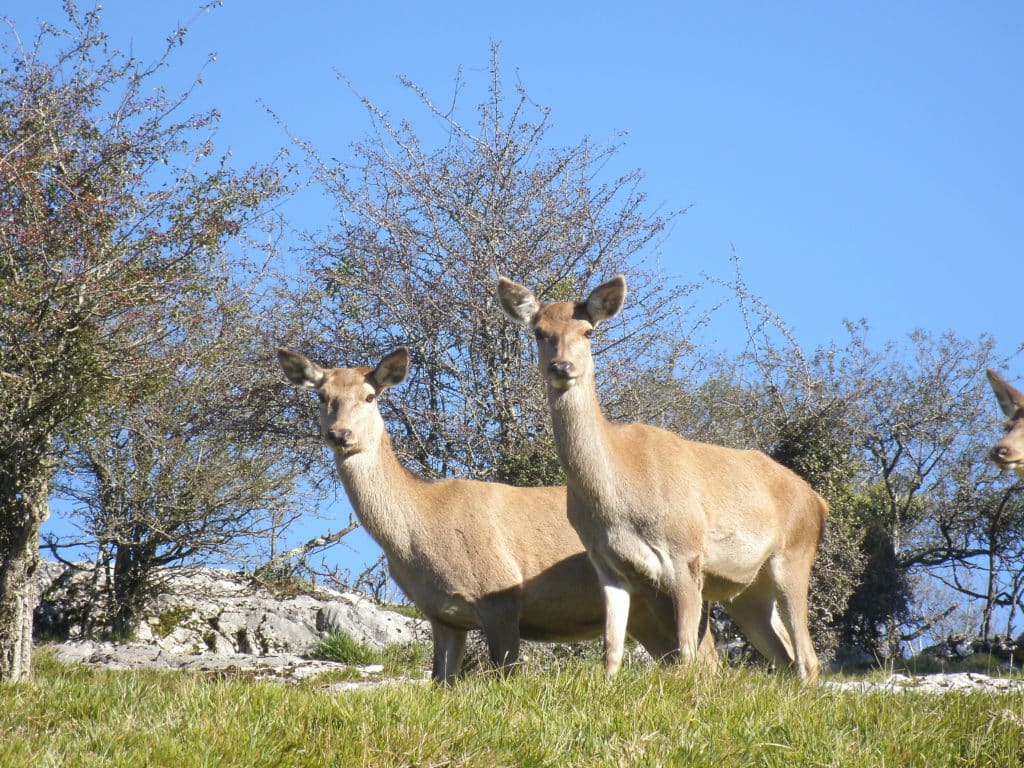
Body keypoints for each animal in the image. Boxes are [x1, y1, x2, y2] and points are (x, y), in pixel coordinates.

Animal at [278, 346, 712, 684]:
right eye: (322, 396)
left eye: (370, 396)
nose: (339, 434)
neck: (419, 527)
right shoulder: (442, 615)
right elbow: (440, 682)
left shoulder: (499, 591)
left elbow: (507, 674)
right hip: (643, 611)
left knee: (707, 657)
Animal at [491, 274, 827, 684]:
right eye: (540, 332)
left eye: (588, 331)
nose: (562, 366)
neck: (618, 496)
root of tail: (818, 501)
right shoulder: (608, 564)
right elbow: (611, 649)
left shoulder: (686, 552)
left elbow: (686, 653)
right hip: (748, 589)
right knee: (786, 656)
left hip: (794, 555)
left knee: (807, 656)